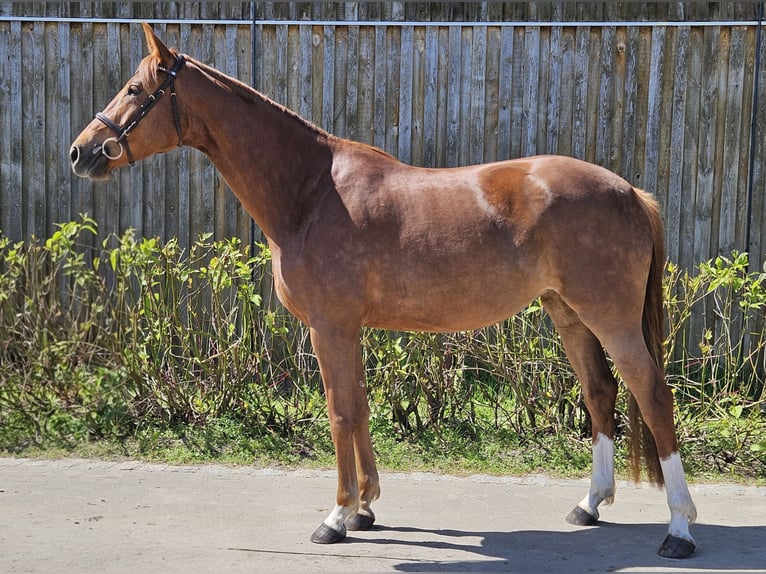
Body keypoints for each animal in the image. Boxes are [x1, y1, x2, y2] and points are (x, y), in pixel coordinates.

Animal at [70, 24, 697, 558]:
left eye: (134, 88)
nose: (82, 151)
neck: (310, 191)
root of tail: (629, 191)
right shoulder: (349, 329)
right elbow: (361, 406)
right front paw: (365, 508)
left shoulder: (330, 327)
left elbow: (340, 412)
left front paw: (336, 516)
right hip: (568, 314)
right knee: (600, 393)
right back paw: (589, 504)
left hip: (611, 319)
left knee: (652, 396)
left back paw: (679, 529)